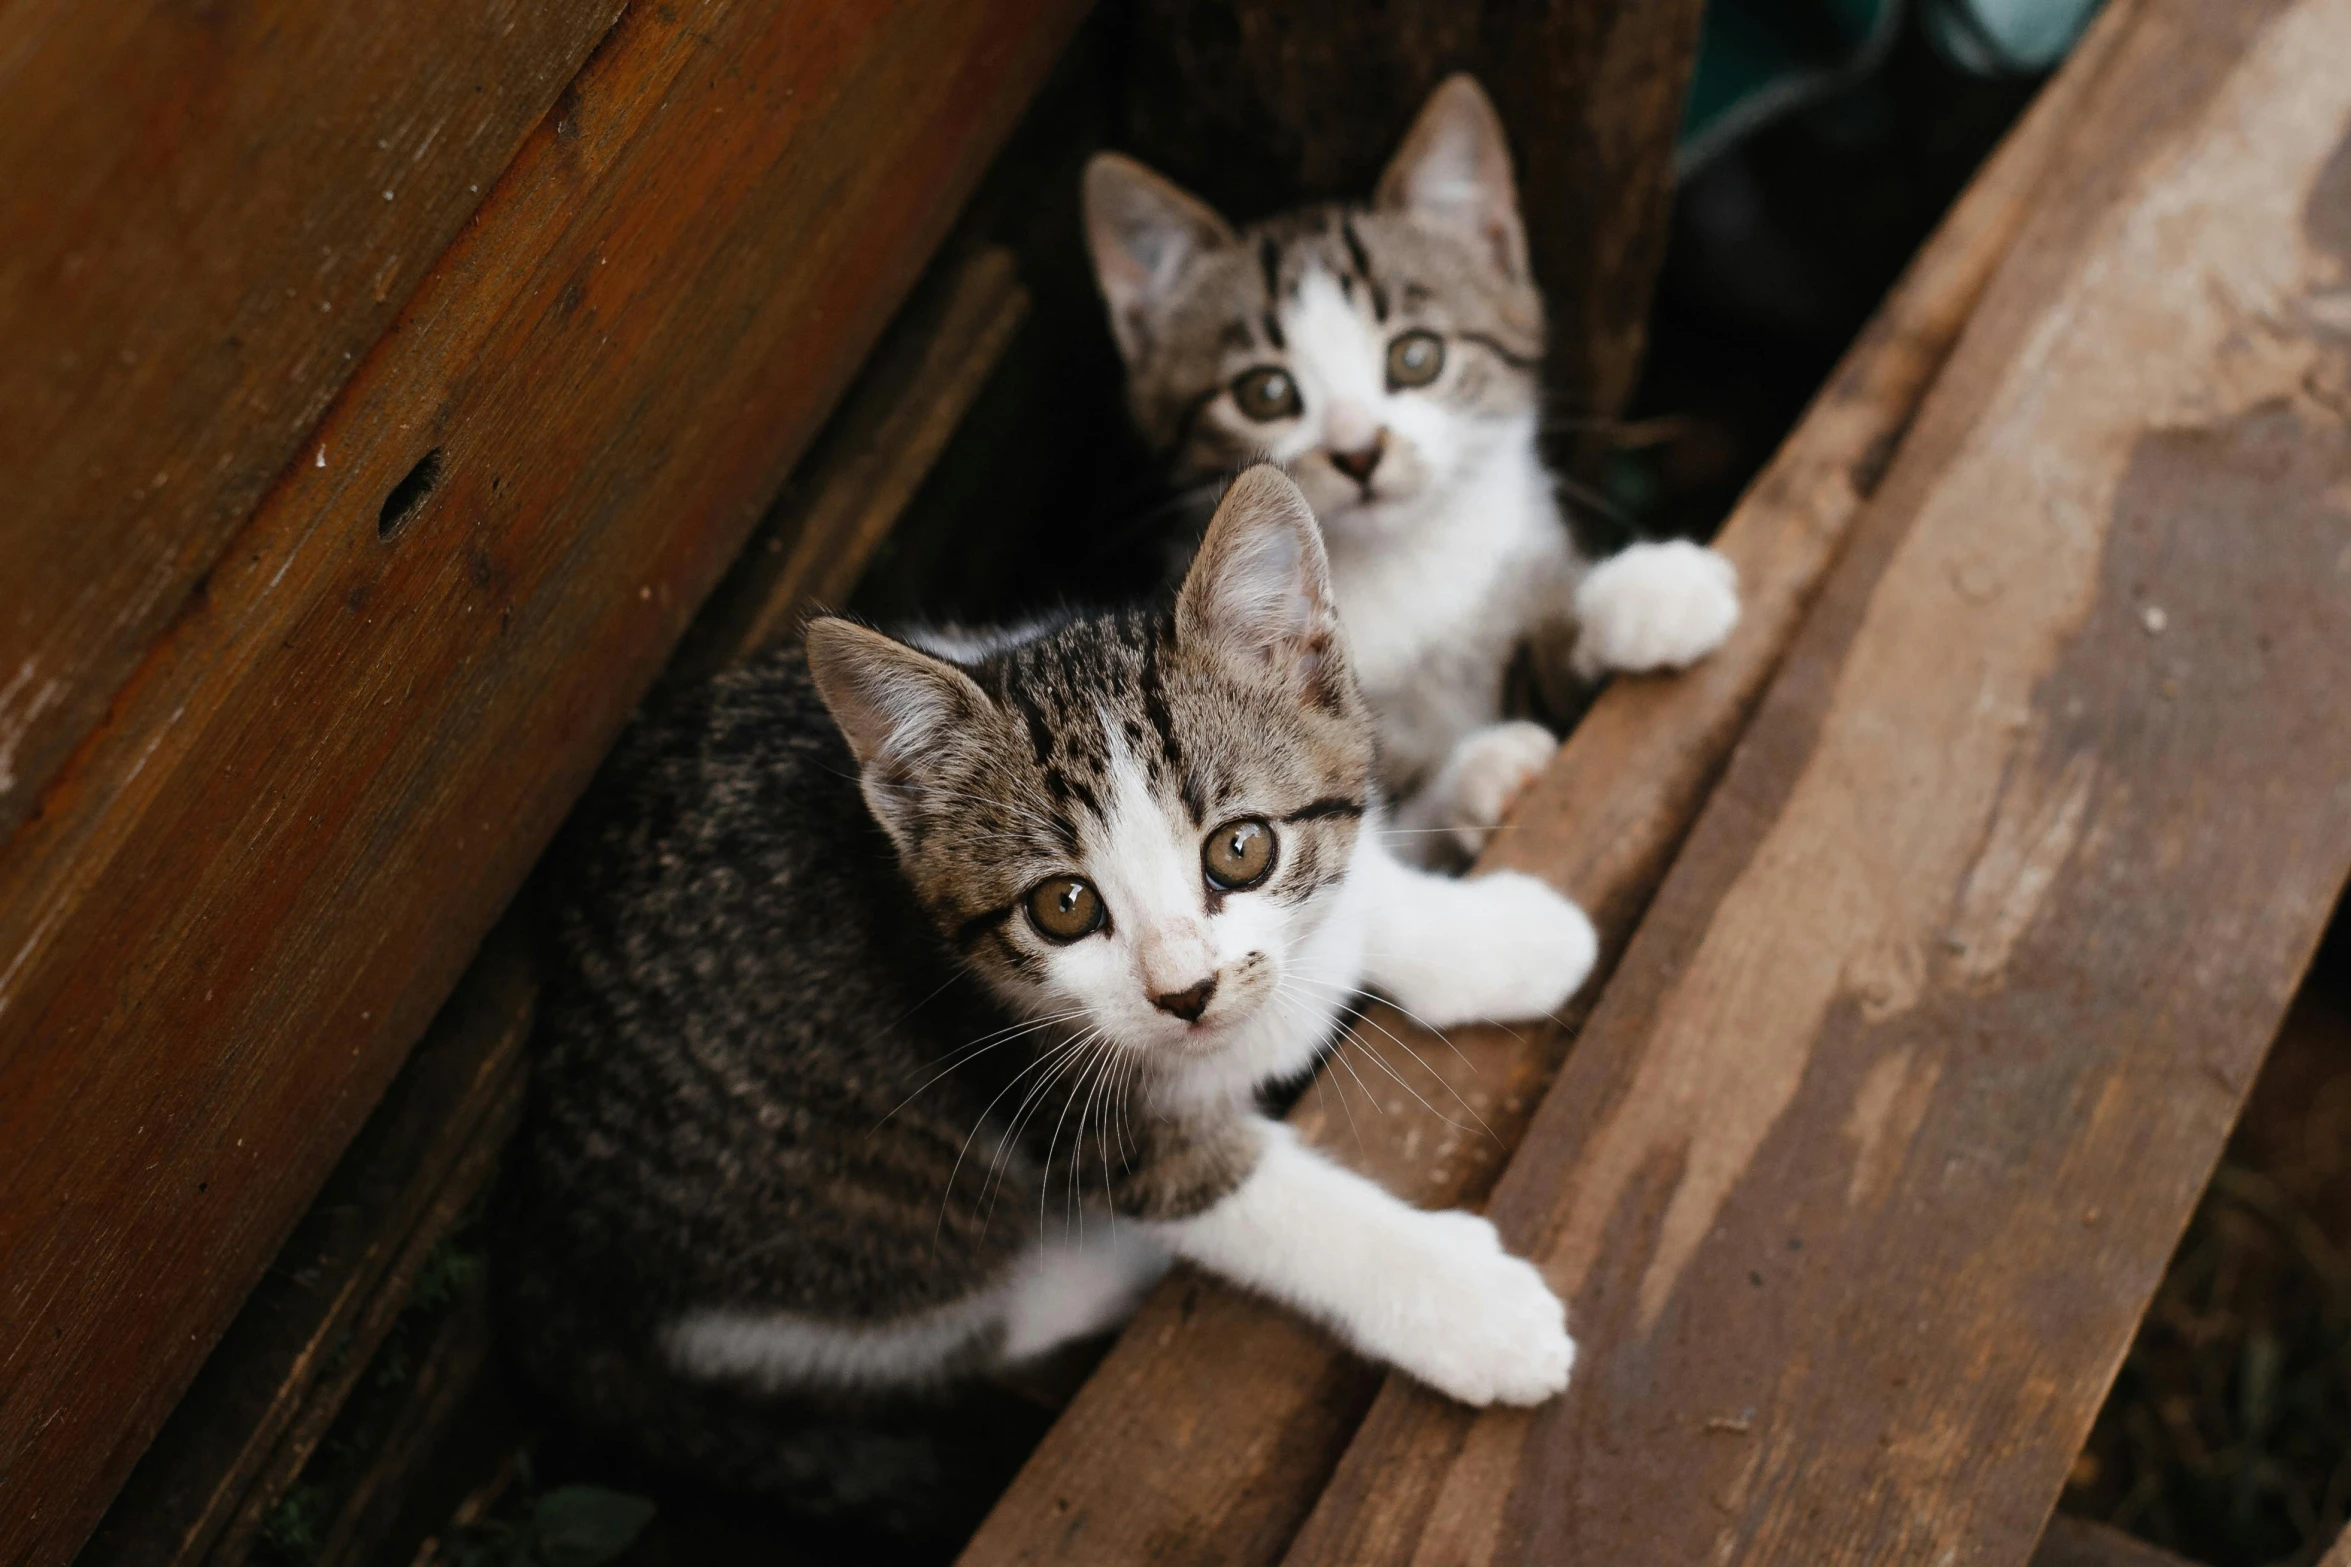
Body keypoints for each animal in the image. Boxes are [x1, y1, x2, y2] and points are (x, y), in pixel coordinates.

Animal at [503, 465, 1589, 1531]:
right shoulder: (1039, 1090)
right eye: (1063, 906)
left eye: (1240, 848)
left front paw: (1499, 937)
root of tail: (541, 1248)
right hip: (837, 1232)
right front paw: (1467, 1306)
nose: (1185, 992)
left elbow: (1359, 892)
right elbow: (1258, 1202)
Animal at [1086, 73, 1749, 864]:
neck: (1403, 567)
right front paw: (1484, 771)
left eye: (1416, 355)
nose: (1358, 450)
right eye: (1265, 393)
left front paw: (1642, 592)